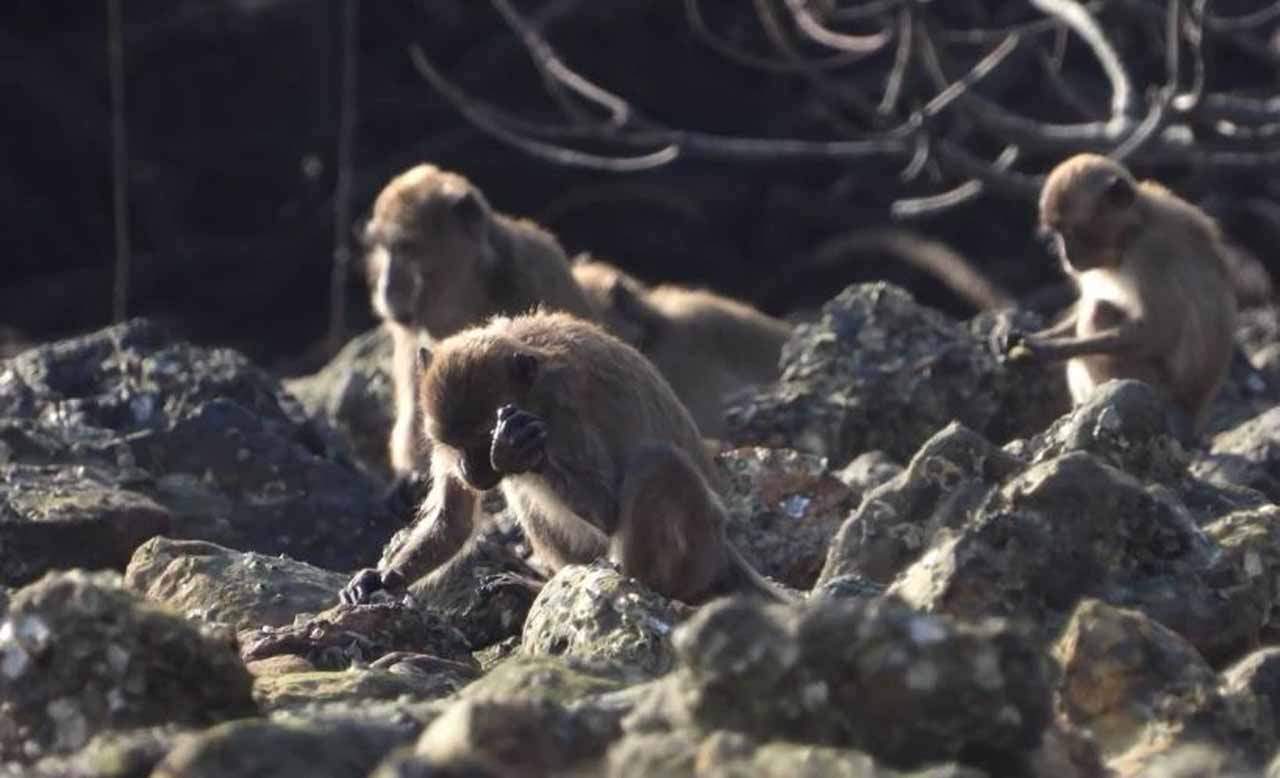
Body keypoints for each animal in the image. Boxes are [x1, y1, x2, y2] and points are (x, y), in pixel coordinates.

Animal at [340, 309, 783, 609]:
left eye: (481, 442)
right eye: (453, 444)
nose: (467, 469)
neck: (533, 389)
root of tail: (723, 547)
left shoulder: (564, 418)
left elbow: (608, 510)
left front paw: (512, 449)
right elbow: (454, 520)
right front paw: (382, 579)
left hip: (697, 545)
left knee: (657, 463)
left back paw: (642, 587)